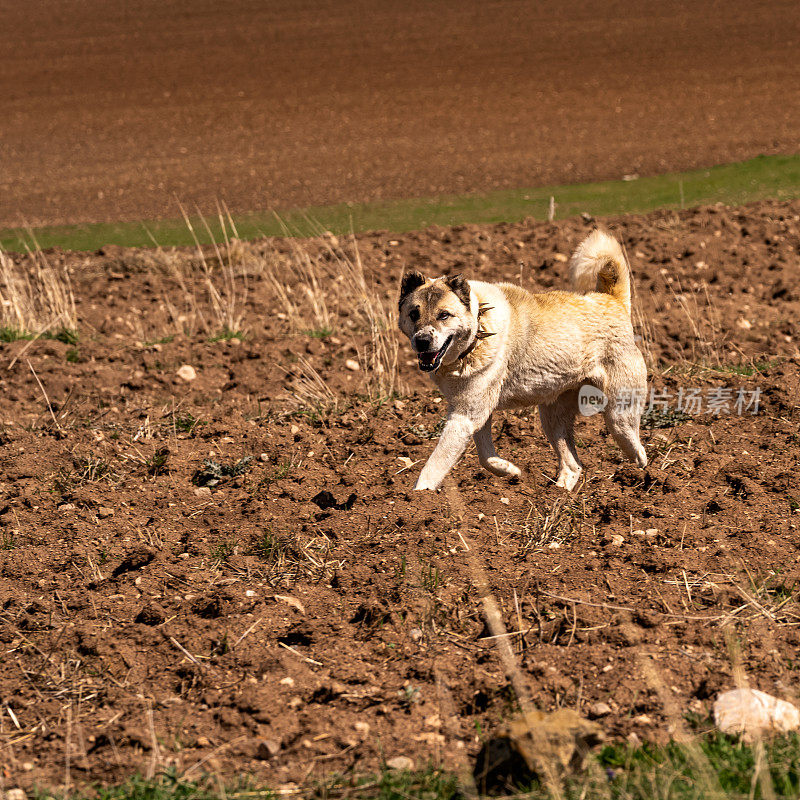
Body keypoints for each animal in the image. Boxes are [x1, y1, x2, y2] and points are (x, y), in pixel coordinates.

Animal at [396, 228, 648, 490]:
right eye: (413, 314)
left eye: (444, 315)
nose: (422, 340)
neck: (479, 330)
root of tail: (612, 300)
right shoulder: (473, 411)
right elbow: (485, 456)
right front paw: (509, 470)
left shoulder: (465, 417)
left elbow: (434, 465)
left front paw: (420, 494)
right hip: (553, 418)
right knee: (573, 465)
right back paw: (559, 493)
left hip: (619, 415)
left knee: (638, 451)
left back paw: (636, 476)